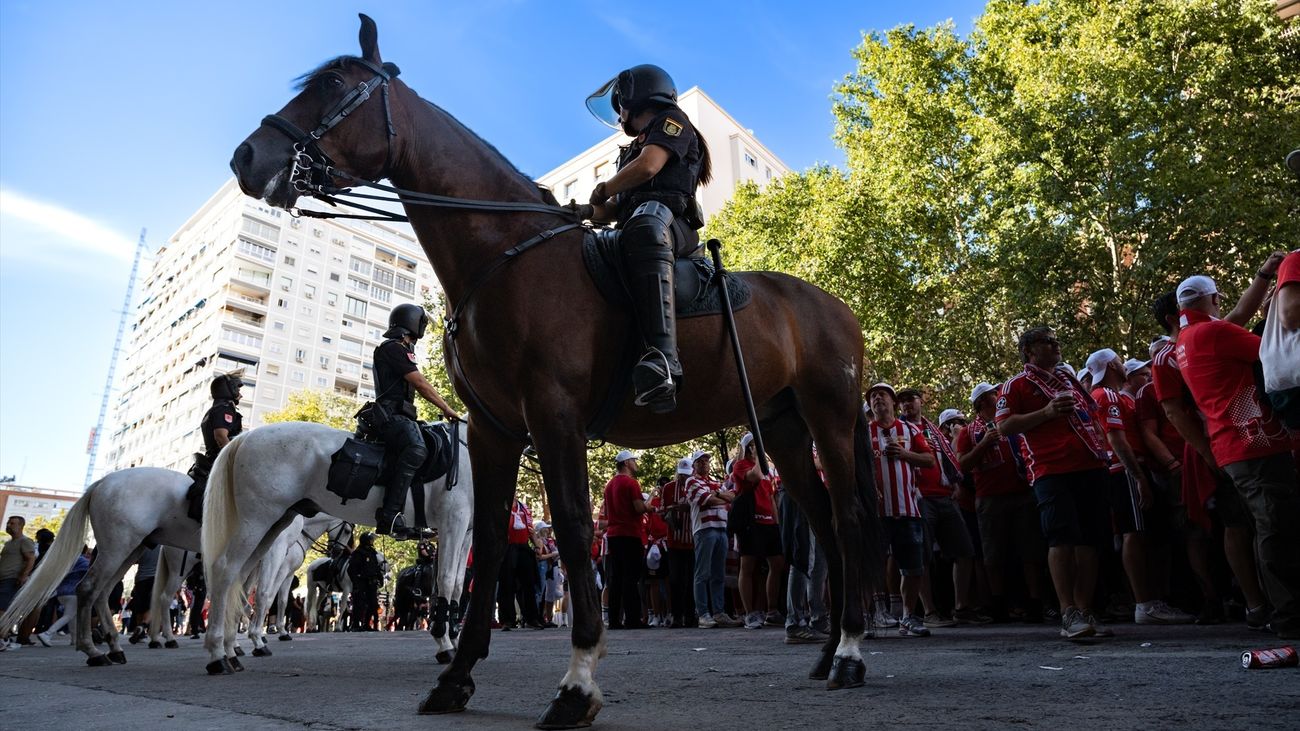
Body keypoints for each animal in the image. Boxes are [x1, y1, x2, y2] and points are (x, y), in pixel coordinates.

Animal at [200, 420, 473, 673]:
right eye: (348, 530)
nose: (337, 551)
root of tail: (246, 436)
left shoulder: (466, 531)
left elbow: (459, 585)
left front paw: (454, 639)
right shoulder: (453, 521)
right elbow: (446, 579)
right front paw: (444, 643)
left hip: (271, 526)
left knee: (239, 578)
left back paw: (231, 650)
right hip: (256, 521)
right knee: (225, 569)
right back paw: (217, 655)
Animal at [230, 15, 880, 727]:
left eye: (332, 85)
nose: (247, 158)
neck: (505, 255)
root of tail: (835, 307)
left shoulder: (553, 416)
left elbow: (571, 526)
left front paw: (578, 681)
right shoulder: (494, 430)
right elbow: (489, 543)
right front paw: (457, 676)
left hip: (830, 417)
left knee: (849, 520)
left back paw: (850, 653)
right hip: (785, 428)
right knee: (822, 525)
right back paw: (829, 652)